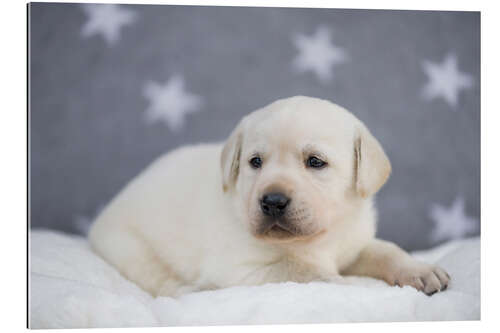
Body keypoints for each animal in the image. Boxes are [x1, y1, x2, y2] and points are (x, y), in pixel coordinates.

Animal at [88, 95, 452, 296]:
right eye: (255, 162)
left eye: (315, 162)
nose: (272, 201)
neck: (318, 239)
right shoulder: (241, 269)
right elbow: (303, 271)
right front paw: (350, 286)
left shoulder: (352, 244)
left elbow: (384, 249)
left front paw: (419, 269)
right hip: (129, 247)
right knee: (159, 279)